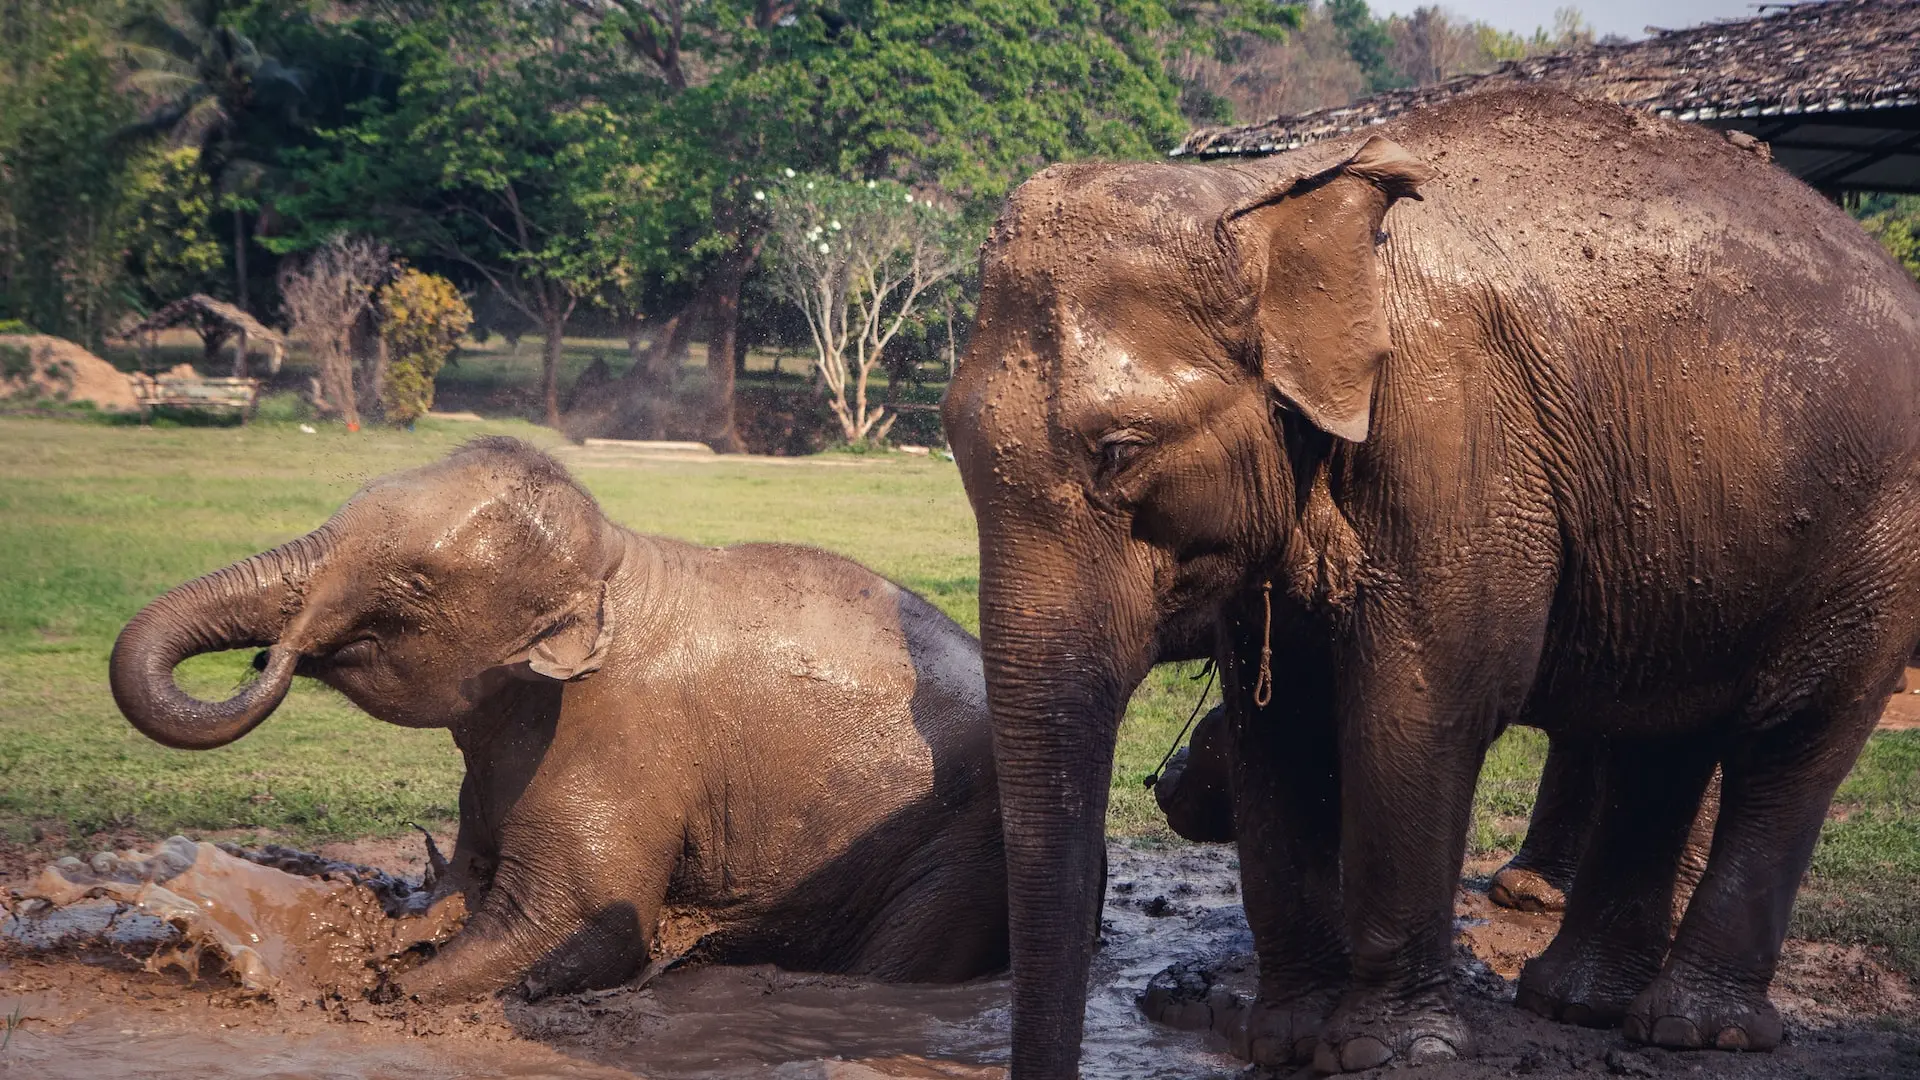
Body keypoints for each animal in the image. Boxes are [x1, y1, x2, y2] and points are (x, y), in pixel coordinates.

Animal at [108, 432, 1006, 999]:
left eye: (413, 585)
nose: (272, 656)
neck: (613, 565)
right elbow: (467, 885)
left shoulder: (613, 746)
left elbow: (584, 924)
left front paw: (374, 990)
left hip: (958, 850)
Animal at [940, 88, 1920, 1068]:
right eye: (950, 436)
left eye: (1120, 450)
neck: (1269, 195)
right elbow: (1279, 726)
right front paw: (1288, 1038)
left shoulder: (1459, 435)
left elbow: (1417, 708)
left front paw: (1384, 1054)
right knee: (1664, 738)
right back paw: (1576, 1005)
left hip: (1878, 541)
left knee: (1790, 738)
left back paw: (1692, 1029)